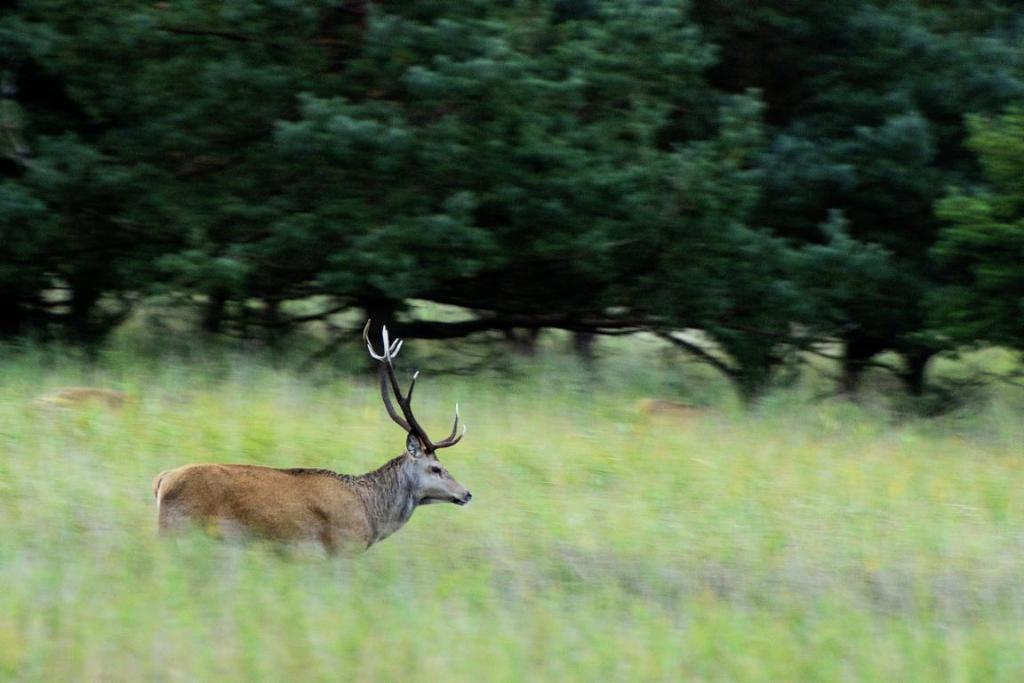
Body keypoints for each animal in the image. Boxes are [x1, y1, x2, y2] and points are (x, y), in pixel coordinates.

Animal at [153, 321, 471, 555]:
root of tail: (162, 479)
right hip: (177, 530)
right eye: (436, 468)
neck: (371, 516)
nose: (467, 493)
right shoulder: (341, 548)